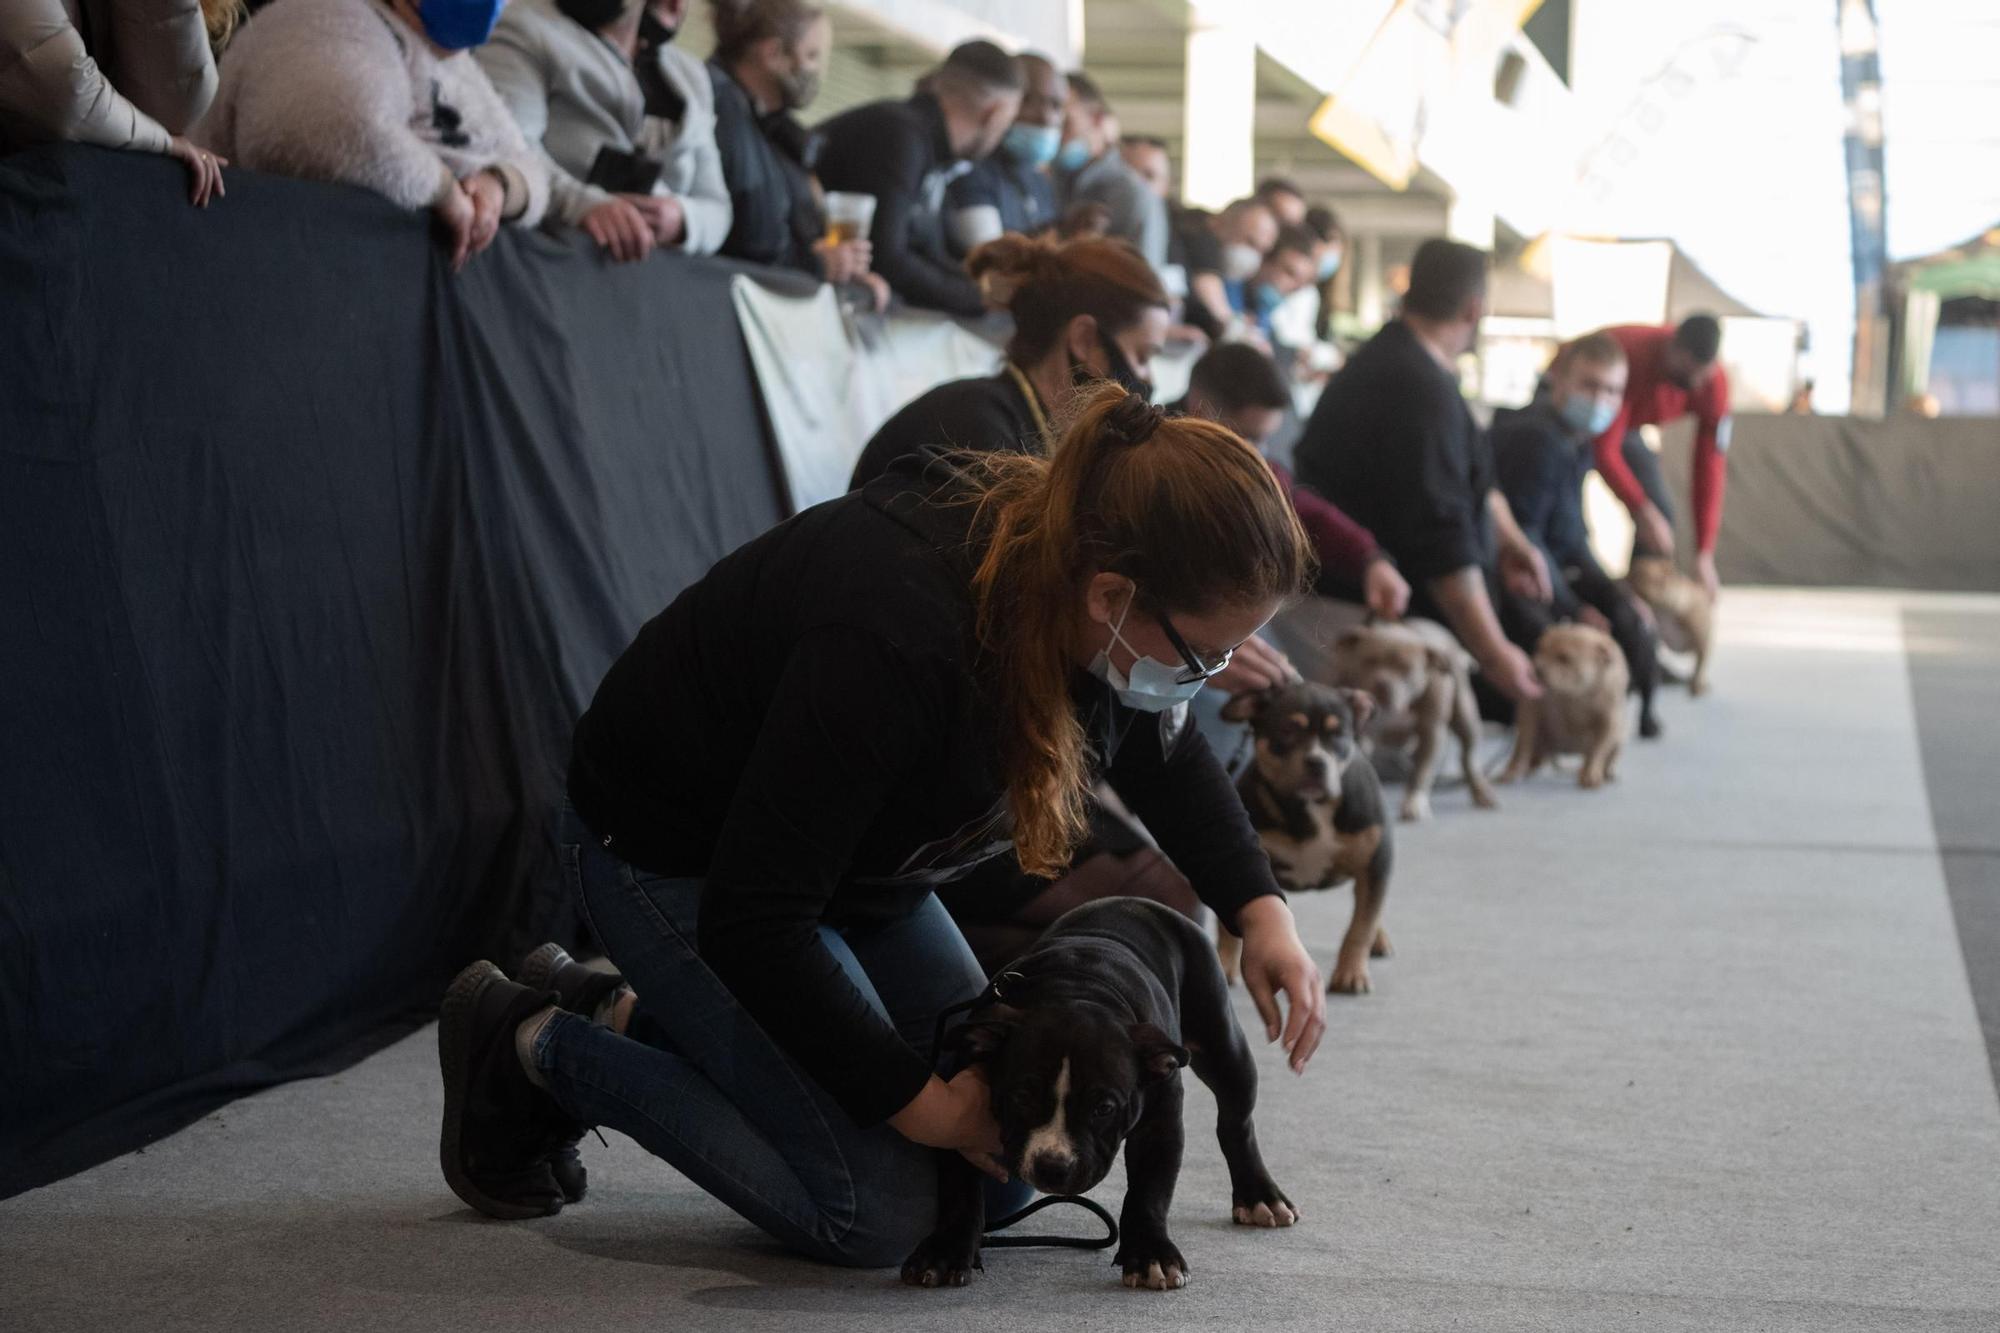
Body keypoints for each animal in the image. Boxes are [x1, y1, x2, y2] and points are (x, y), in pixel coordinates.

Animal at [908, 892, 1296, 1288]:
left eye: (1104, 1108)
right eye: (1022, 1097)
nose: (1052, 1166)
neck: (1076, 990)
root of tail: (1136, 900)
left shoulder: (1159, 1124)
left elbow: (1150, 1190)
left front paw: (1151, 1254)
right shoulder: (958, 1109)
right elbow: (959, 1187)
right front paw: (946, 1249)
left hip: (1224, 1046)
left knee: (1237, 1122)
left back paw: (1259, 1195)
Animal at [1216, 680, 1392, 992]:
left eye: (1338, 734)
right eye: (1287, 730)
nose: (1316, 761)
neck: (1312, 807)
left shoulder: (1376, 861)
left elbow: (1361, 926)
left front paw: (1351, 973)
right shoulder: (1241, 863)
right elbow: (1230, 924)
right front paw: (1225, 964)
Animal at [1336, 616, 1496, 820]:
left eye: (1406, 668)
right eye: (1369, 661)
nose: (1383, 683)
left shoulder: (1431, 733)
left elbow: (1422, 771)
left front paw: (1414, 802)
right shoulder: (1359, 734)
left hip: (1465, 716)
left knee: (1468, 757)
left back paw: (1481, 792)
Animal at [1504, 624, 1624, 788]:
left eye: (1564, 658)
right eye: (1539, 649)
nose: (1536, 669)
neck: (1574, 693)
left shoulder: (1608, 720)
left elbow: (1597, 750)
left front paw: (1590, 773)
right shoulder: (1529, 709)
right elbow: (1522, 745)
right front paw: (1512, 770)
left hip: (1619, 739)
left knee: (1605, 755)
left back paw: (1605, 771)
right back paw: (1531, 765)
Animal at [1624, 552, 1720, 696]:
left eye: (1638, 574)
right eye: (1632, 570)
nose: (1624, 577)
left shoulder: (1702, 640)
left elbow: (1700, 664)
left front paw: (1697, 685)